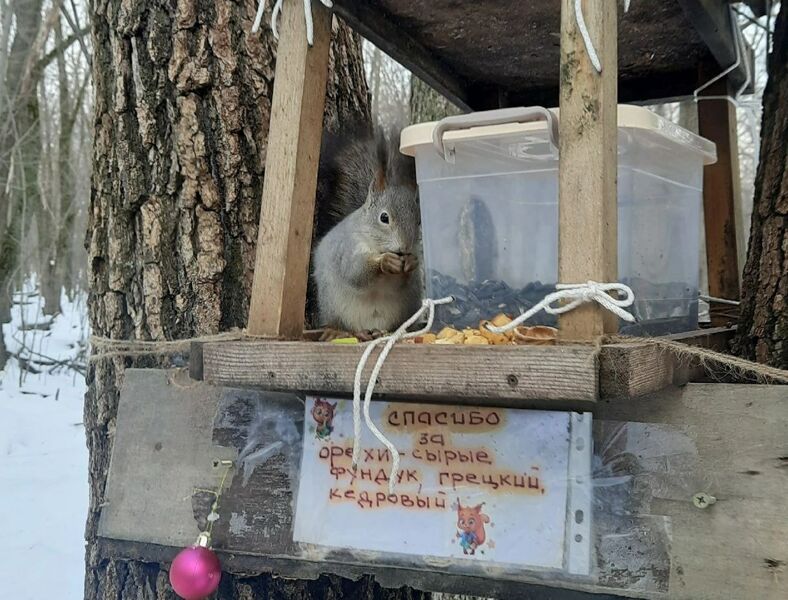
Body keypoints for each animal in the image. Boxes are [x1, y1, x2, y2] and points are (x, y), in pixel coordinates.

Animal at [312, 127, 424, 340]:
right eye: (384, 217)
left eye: (418, 220)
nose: (404, 248)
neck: (376, 245)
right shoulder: (347, 248)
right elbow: (355, 272)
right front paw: (385, 262)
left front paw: (411, 262)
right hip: (334, 308)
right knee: (342, 325)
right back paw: (338, 331)